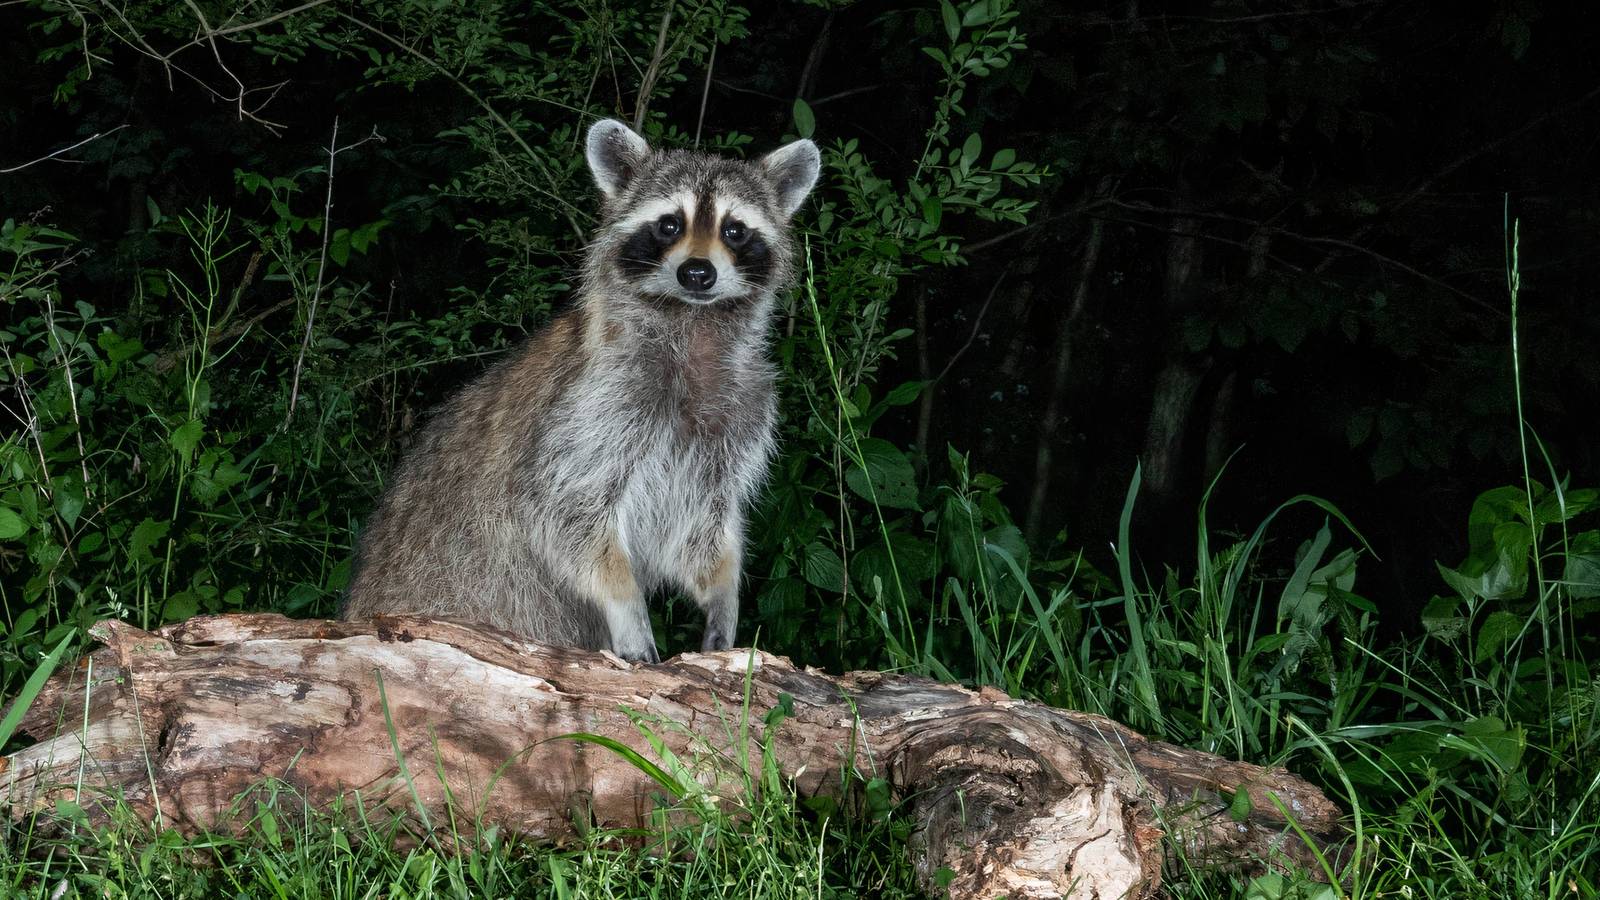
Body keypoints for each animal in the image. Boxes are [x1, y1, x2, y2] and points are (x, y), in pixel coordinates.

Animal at [341, 119, 821, 663]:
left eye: (734, 229)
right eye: (669, 225)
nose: (697, 273)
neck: (694, 323)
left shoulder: (740, 410)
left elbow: (701, 527)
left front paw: (723, 592)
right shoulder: (594, 403)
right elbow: (565, 511)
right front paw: (627, 606)